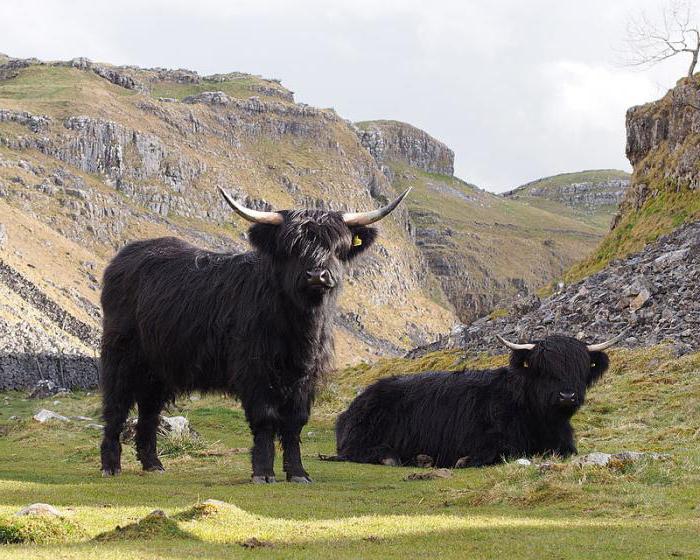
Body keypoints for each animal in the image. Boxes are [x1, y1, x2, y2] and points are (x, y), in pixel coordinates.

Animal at [97, 187, 410, 482]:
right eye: (292, 247)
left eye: (337, 247)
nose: (317, 275)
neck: (300, 329)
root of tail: (123, 257)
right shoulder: (255, 371)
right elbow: (265, 419)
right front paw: (263, 472)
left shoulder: (306, 378)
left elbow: (295, 423)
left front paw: (298, 473)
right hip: (120, 357)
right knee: (116, 407)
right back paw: (111, 466)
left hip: (159, 369)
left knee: (149, 411)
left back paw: (153, 464)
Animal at [336, 332, 628, 468]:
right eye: (542, 368)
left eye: (581, 367)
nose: (567, 395)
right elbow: (504, 451)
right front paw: (464, 461)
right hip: (364, 435)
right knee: (355, 450)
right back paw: (394, 458)